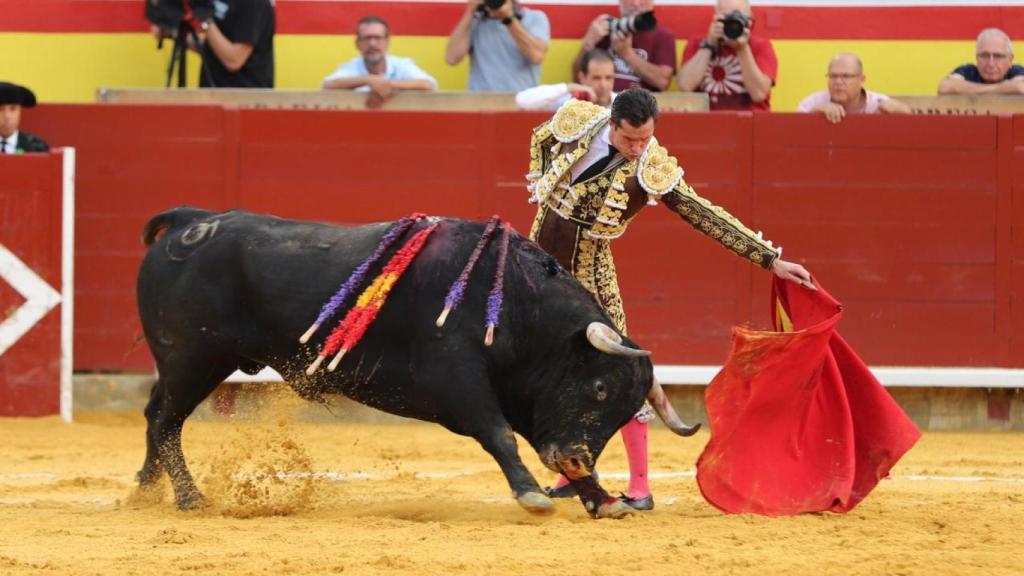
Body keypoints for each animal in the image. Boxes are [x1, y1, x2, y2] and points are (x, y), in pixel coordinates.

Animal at [136, 204, 696, 516]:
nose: (578, 458)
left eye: (623, 412)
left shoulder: (523, 395)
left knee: (155, 416)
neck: (515, 302)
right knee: (167, 421)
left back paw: (144, 489)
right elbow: (499, 434)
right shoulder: (457, 378)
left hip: (191, 364)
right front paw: (532, 496)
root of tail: (191, 222)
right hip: (193, 359)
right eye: (599, 389)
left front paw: (602, 499)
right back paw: (188, 498)